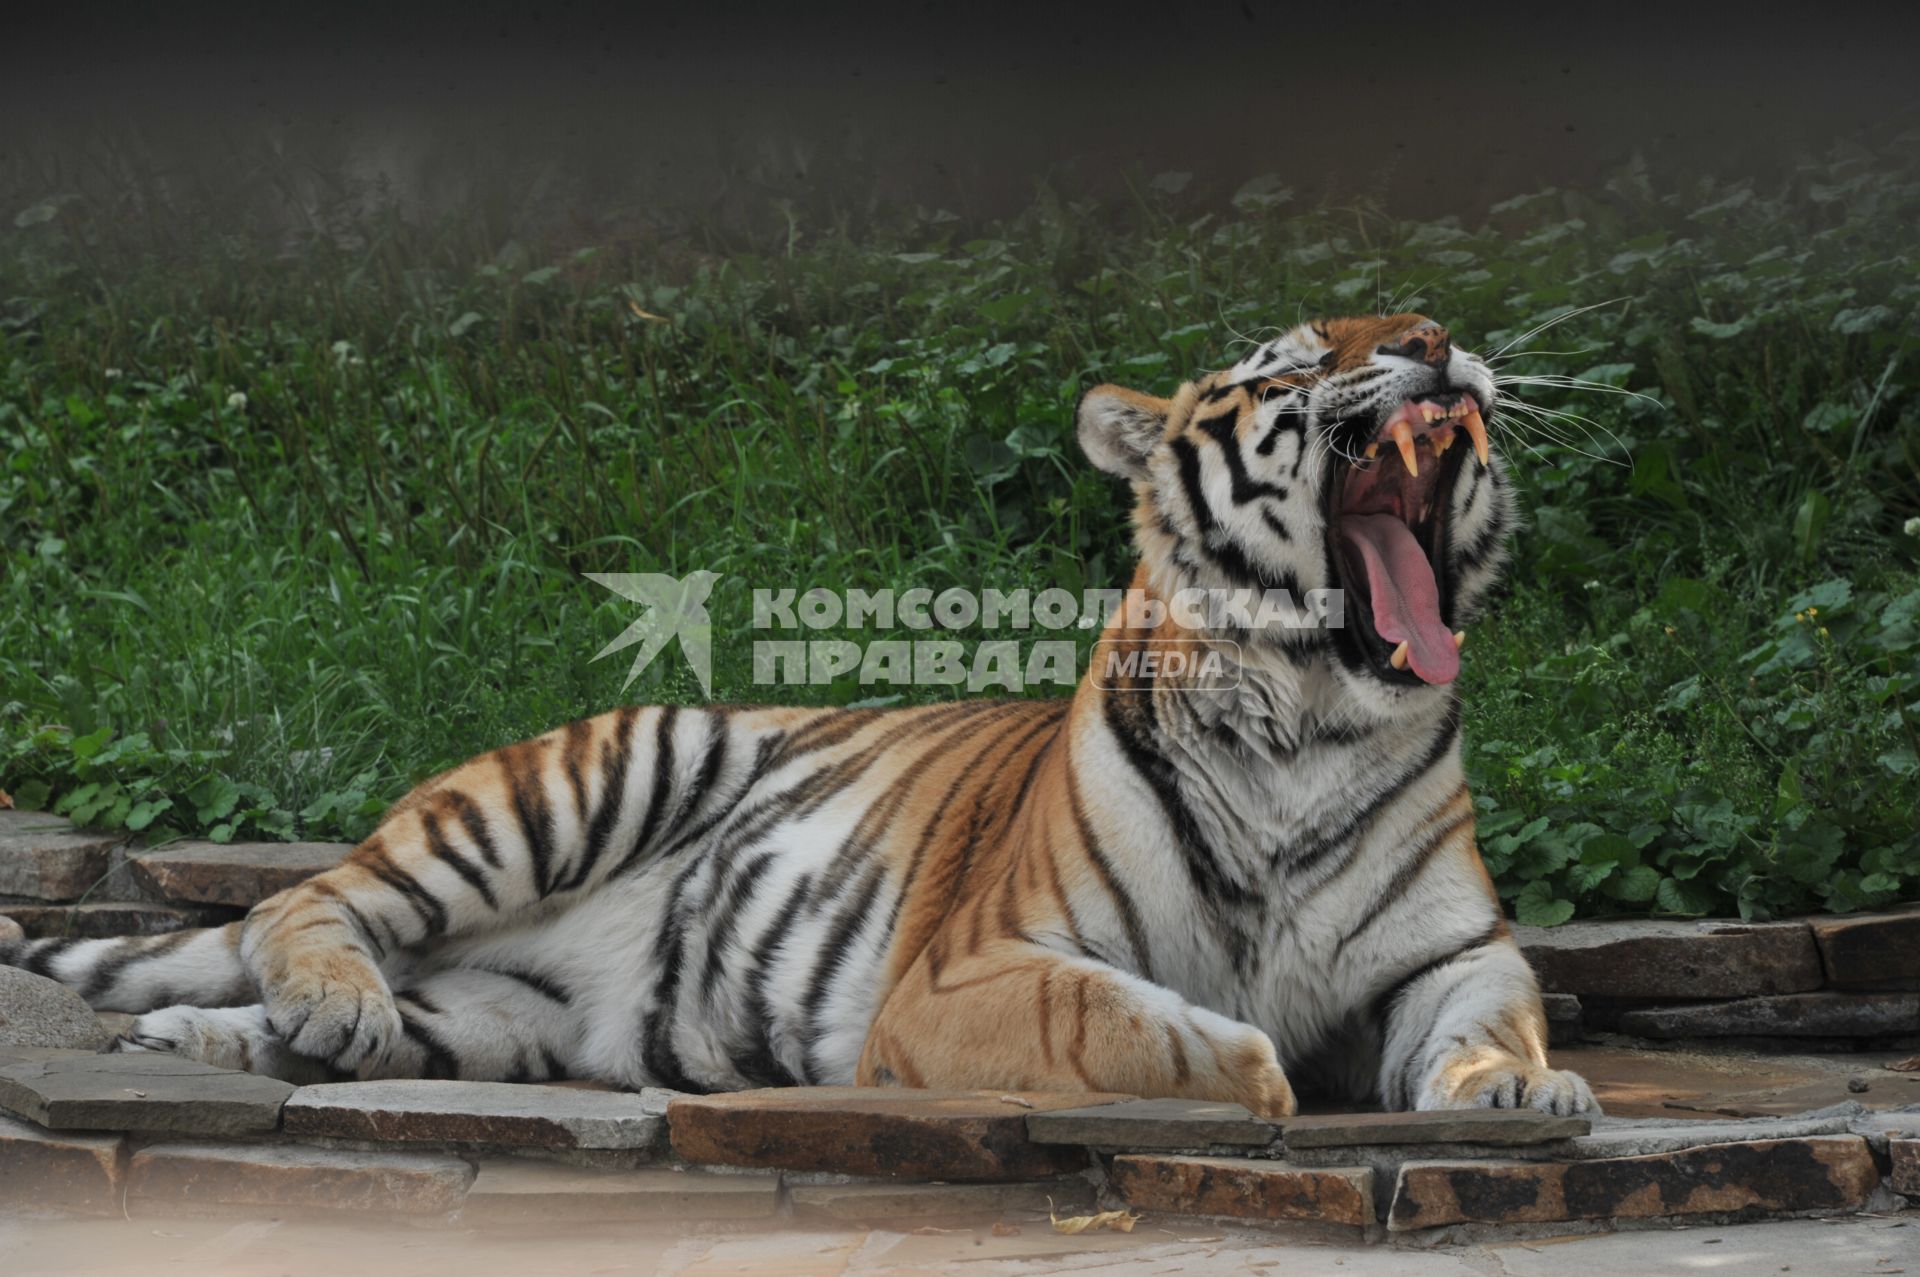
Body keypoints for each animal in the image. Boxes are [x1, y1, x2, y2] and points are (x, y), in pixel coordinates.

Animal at [0, 313, 1589, 1113]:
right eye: (1300, 359)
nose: (1436, 337)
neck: (1309, 714)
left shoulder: (1447, 955)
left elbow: (1491, 1019)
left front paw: (1526, 1094)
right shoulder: (971, 973)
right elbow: (1142, 1024)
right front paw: (1263, 1069)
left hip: (506, 1019)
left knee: (380, 1015)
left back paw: (229, 1040)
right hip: (573, 785)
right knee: (300, 905)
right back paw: (320, 996)